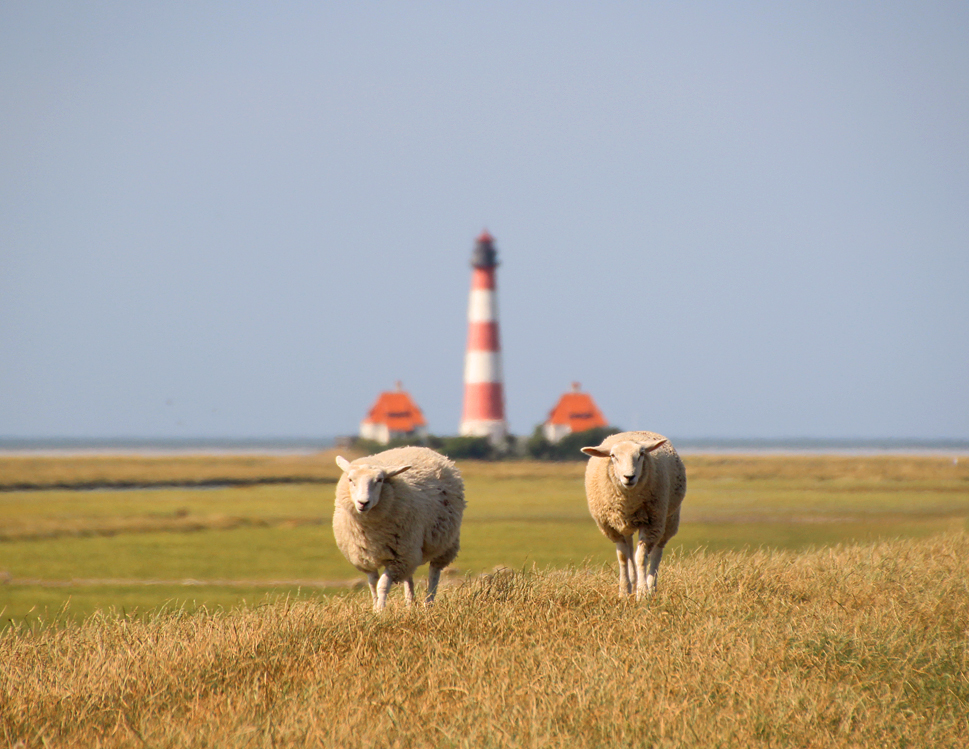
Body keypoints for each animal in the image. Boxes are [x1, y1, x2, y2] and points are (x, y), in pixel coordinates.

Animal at [332, 448, 466, 612]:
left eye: (380, 480)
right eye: (351, 480)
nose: (363, 503)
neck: (372, 532)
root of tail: (422, 448)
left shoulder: (397, 558)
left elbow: (382, 585)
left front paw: (380, 611)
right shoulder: (365, 557)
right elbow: (373, 584)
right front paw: (375, 607)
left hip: (442, 542)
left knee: (434, 573)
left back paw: (428, 604)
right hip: (410, 550)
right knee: (409, 576)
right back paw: (410, 603)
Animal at [580, 430, 684, 600]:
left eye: (641, 454)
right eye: (613, 455)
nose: (629, 477)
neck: (628, 502)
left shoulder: (651, 523)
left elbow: (641, 557)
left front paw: (642, 593)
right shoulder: (612, 528)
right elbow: (623, 557)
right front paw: (624, 592)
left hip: (668, 518)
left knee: (657, 551)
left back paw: (651, 587)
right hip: (626, 524)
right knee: (629, 549)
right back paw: (633, 582)